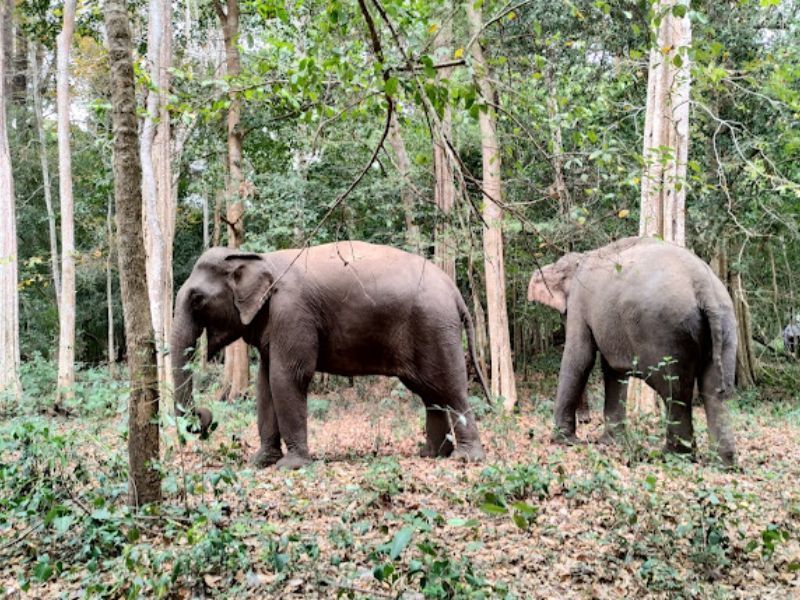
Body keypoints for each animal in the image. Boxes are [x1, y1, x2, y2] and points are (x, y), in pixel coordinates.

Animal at [172, 239, 490, 468]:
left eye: (197, 299)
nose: (204, 417)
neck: (257, 257)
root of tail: (455, 292)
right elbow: (264, 383)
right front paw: (261, 461)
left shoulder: (292, 312)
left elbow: (288, 377)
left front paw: (292, 466)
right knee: (429, 393)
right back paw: (430, 454)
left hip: (434, 328)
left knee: (449, 389)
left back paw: (465, 458)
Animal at [524, 237, 736, 466]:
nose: (585, 419)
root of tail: (703, 285)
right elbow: (613, 370)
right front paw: (610, 442)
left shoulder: (579, 302)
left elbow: (580, 356)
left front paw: (564, 441)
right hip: (726, 323)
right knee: (715, 392)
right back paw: (724, 463)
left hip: (665, 331)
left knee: (675, 391)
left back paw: (672, 455)